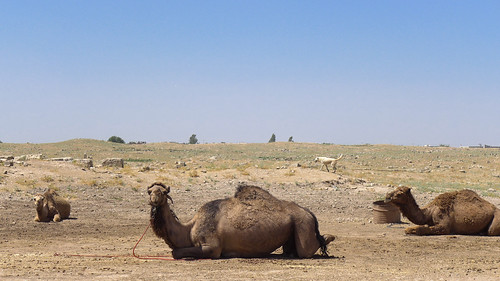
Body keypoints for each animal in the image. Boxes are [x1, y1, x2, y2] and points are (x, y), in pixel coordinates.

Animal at [148, 182, 336, 258]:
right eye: (150, 191)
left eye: (162, 192)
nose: (154, 199)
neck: (189, 229)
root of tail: (308, 211)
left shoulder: (212, 247)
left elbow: (175, 252)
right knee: (290, 251)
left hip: (302, 223)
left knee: (306, 250)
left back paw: (330, 236)